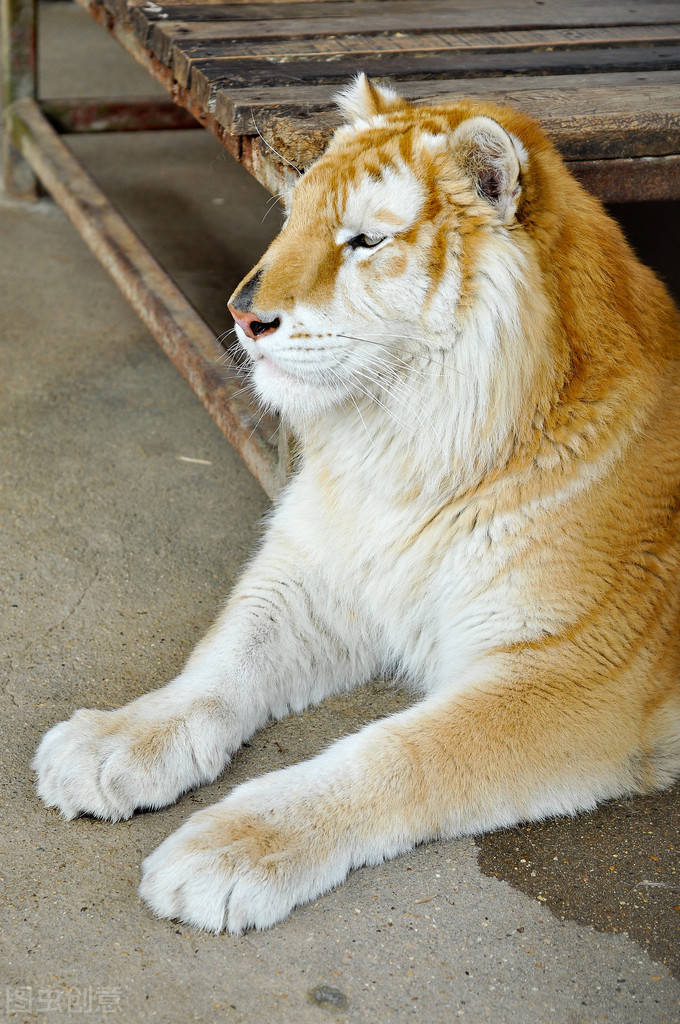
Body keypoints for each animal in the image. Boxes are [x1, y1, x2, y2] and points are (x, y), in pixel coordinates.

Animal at [33, 74, 680, 937]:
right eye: (294, 217)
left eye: (365, 242)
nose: (241, 315)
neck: (410, 455)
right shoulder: (323, 571)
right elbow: (221, 660)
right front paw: (111, 745)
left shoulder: (578, 675)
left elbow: (400, 754)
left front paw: (231, 847)